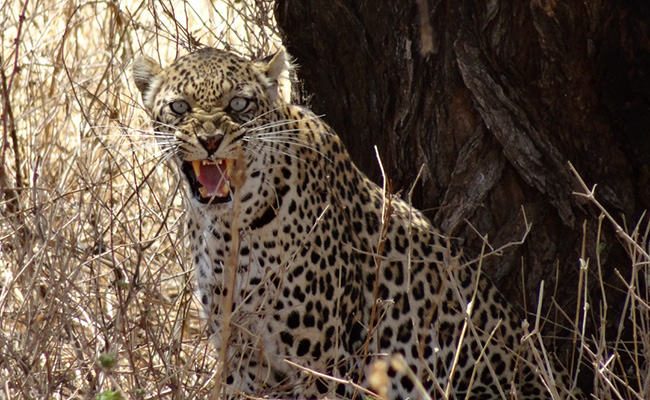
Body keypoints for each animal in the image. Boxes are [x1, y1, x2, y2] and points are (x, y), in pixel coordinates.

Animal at [130, 48, 576, 398]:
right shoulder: (240, 353)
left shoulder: (320, 362)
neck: (229, 228)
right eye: (180, 107)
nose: (209, 141)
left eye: (238, 104)